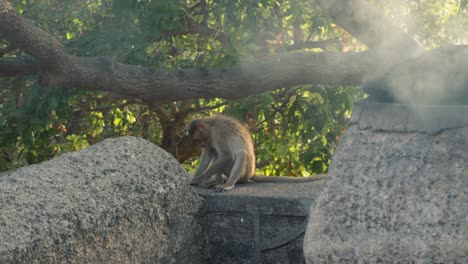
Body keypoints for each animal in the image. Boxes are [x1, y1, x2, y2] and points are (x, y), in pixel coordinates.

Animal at [188, 115, 328, 192]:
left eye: (198, 140)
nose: (201, 145)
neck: (211, 127)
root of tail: (251, 174)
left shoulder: (219, 134)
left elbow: (226, 156)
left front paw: (199, 178)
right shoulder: (210, 140)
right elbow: (208, 156)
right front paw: (197, 178)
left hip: (245, 173)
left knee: (241, 155)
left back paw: (228, 184)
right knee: (216, 154)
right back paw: (217, 181)